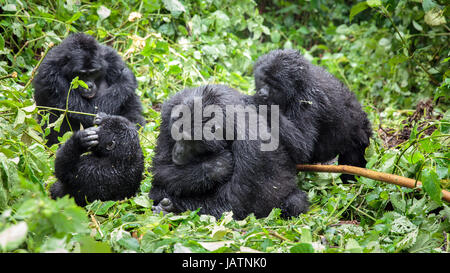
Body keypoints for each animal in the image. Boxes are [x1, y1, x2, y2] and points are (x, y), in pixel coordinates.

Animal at [149, 85, 308, 219]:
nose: (177, 153)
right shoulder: (170, 111)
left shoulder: (252, 141)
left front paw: (174, 208)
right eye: (176, 133)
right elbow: (160, 168)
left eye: (189, 141)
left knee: (295, 202)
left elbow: (233, 204)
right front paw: (216, 167)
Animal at [253, 49, 372, 181]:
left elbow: (302, 147)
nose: (263, 93)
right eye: (263, 80)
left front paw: (263, 105)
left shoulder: (307, 101)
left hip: (360, 142)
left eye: (275, 86)